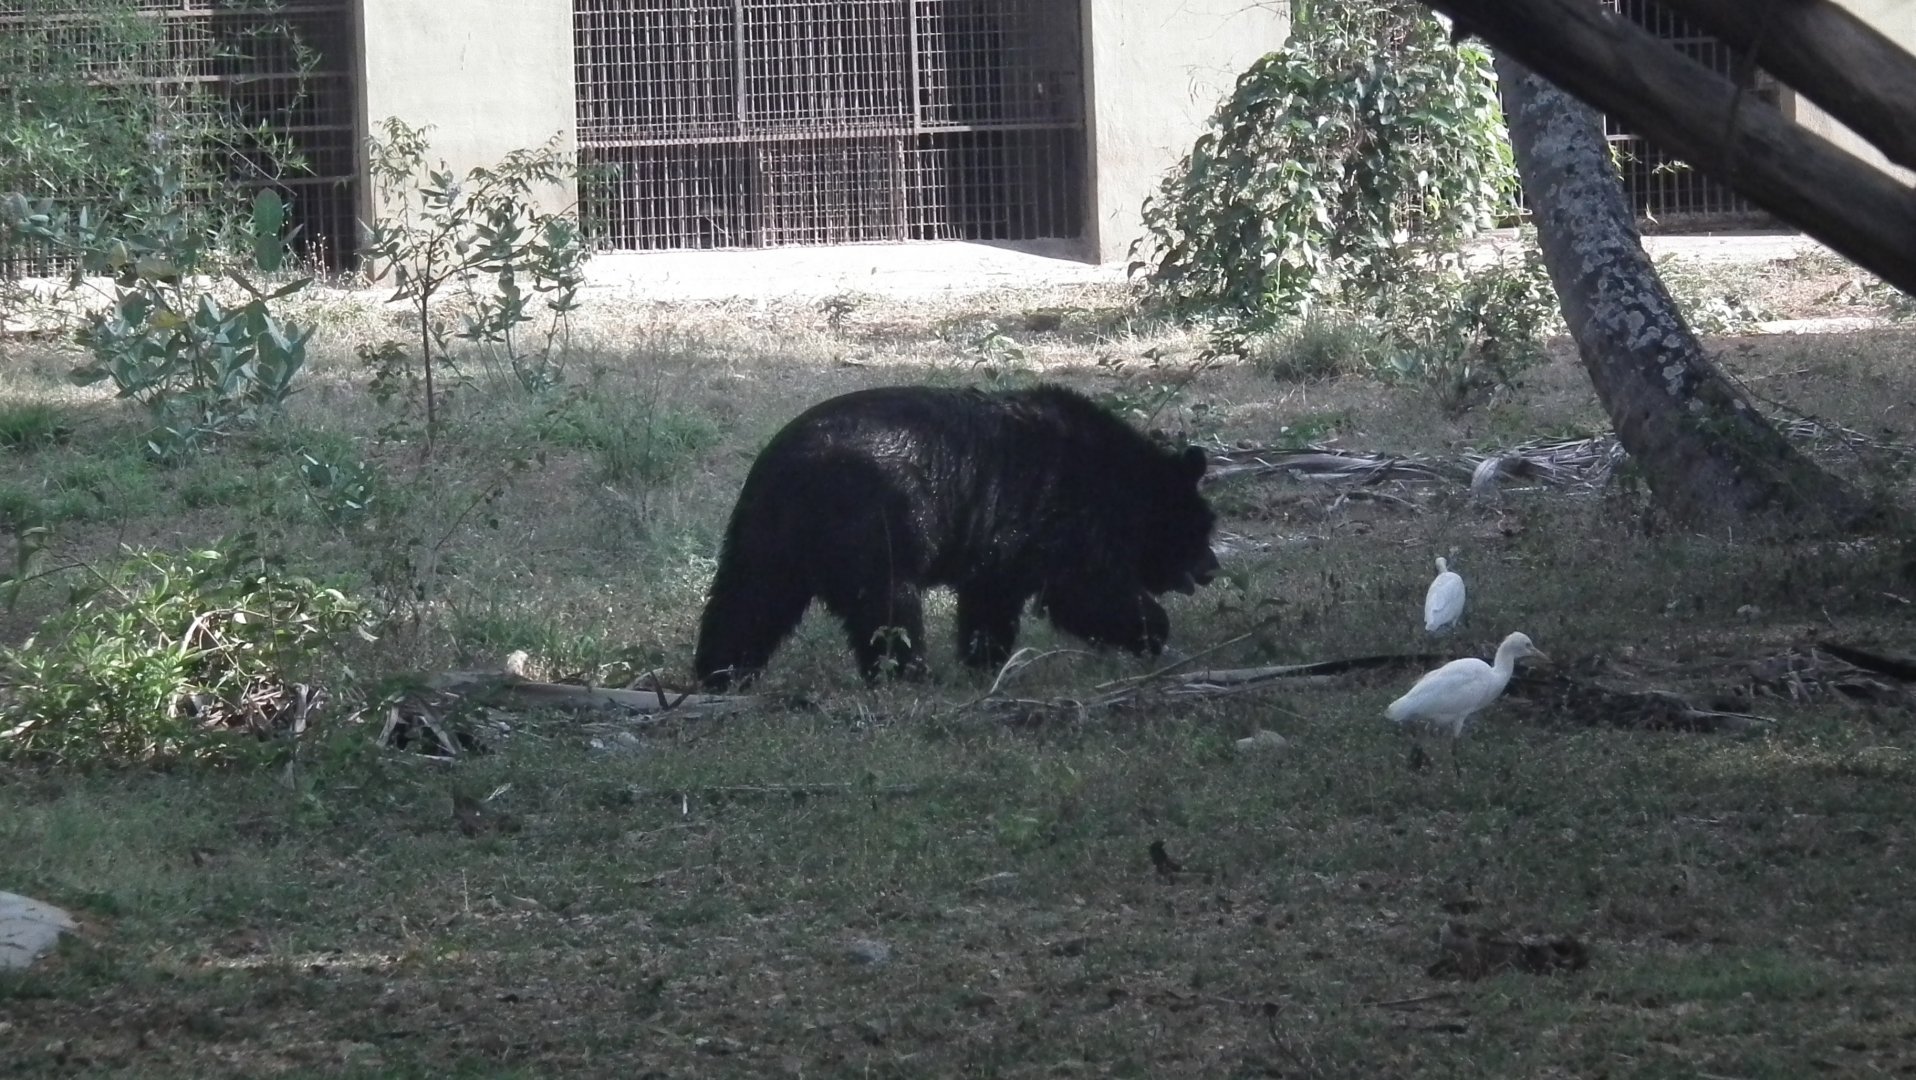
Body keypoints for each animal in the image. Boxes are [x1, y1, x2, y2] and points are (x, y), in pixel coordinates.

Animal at [692, 383, 1220, 690]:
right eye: (1199, 530)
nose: (1212, 569)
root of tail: (785, 468)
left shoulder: (1005, 544)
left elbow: (992, 600)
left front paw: (985, 661)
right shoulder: (1057, 512)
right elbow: (1083, 591)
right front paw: (1153, 631)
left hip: (768, 537)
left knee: (749, 601)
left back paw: (720, 673)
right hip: (875, 521)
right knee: (888, 606)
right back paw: (910, 676)